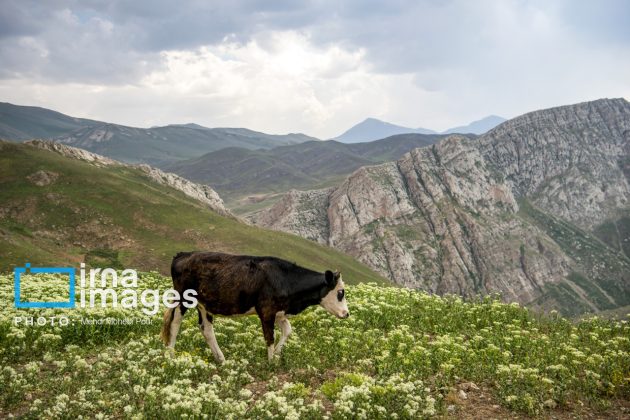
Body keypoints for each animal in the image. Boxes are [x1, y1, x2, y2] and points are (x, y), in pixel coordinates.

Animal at [160, 251, 350, 362]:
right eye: (340, 292)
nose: (347, 314)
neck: (286, 279)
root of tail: (183, 254)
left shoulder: (279, 312)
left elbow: (287, 331)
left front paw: (278, 355)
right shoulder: (266, 311)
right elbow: (269, 337)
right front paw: (271, 363)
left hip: (204, 305)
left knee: (206, 329)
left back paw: (221, 359)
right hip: (182, 298)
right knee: (175, 324)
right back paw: (171, 357)